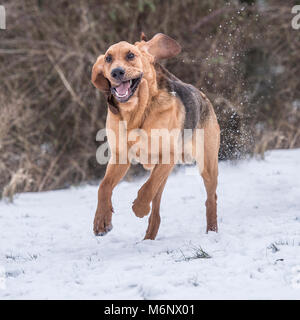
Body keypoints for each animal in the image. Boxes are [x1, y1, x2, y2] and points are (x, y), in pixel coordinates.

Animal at [90, 33, 219, 240]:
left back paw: (212, 231)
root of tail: (202, 95)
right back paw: (148, 238)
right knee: (156, 209)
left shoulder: (168, 156)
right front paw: (101, 221)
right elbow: (104, 186)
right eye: (108, 58)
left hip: (207, 165)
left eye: (130, 55)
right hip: (163, 172)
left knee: (210, 198)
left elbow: (146, 189)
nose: (117, 72)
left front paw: (139, 208)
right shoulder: (120, 158)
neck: (137, 114)